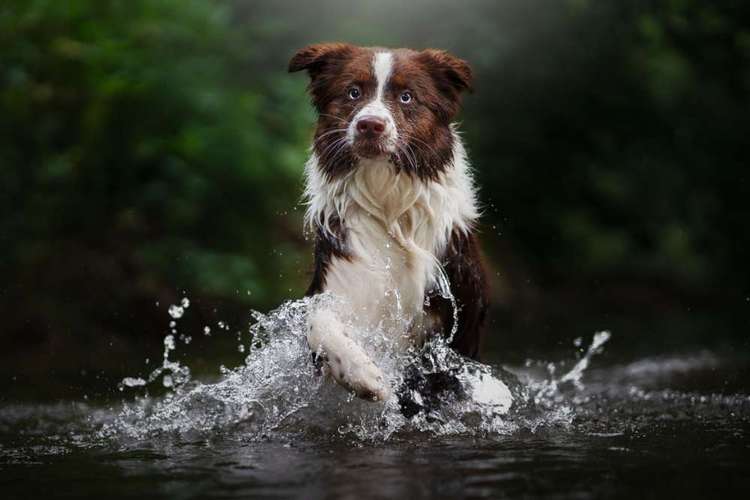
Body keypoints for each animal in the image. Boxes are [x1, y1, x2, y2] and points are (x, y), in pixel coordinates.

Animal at [290, 42, 490, 402]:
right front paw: (361, 374)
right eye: (353, 92)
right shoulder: (342, 270)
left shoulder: (455, 321)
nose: (370, 125)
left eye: (407, 97)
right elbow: (319, 320)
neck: (389, 204)